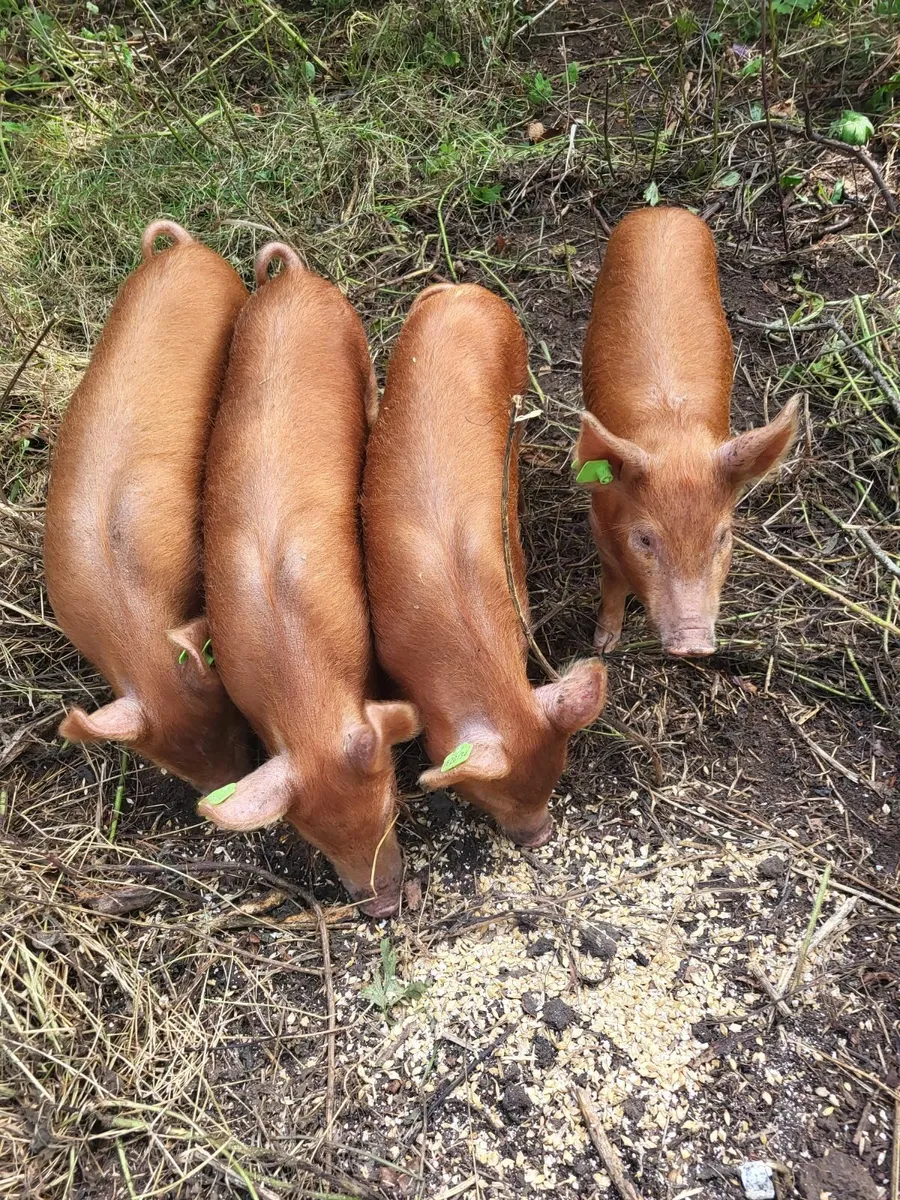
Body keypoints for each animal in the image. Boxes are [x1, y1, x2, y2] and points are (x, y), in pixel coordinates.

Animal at [578, 207, 798, 657]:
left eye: (722, 536)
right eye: (645, 540)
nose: (693, 644)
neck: (674, 434)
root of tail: (662, 211)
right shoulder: (599, 523)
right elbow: (612, 583)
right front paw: (604, 645)